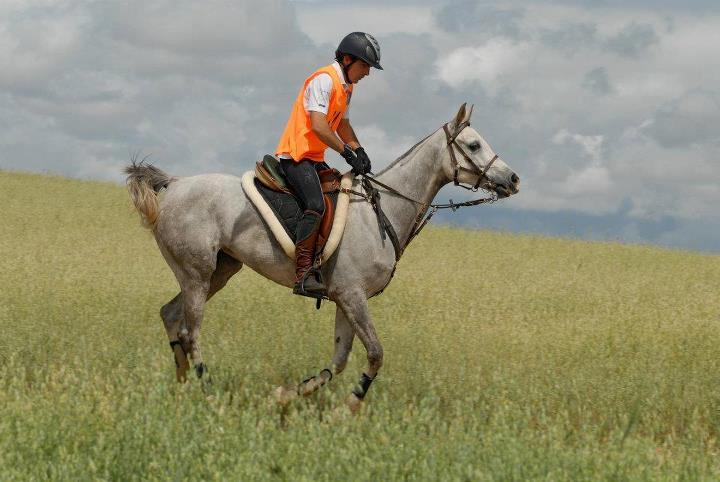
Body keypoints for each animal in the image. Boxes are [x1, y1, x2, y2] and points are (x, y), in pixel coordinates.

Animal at [124, 102, 516, 410]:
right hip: (197, 274)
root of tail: (175, 184)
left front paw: (284, 396)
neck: (381, 210)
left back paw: (182, 387)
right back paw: (208, 394)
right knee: (190, 332)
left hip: (218, 272)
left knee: (171, 315)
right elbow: (375, 353)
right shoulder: (352, 295)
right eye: (474, 144)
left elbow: (339, 362)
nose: (512, 179)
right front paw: (348, 408)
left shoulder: (346, 299)